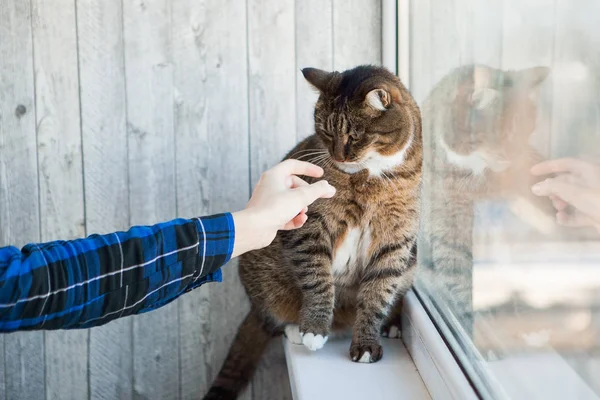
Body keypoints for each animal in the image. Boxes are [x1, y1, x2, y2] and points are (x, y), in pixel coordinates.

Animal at [204, 64, 424, 398]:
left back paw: (393, 322)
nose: (338, 156)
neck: (370, 176)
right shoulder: (309, 225)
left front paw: (367, 344)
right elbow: (318, 278)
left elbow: (379, 291)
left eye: (355, 134)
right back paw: (297, 327)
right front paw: (314, 328)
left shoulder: (396, 236)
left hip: (411, 258)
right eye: (327, 131)